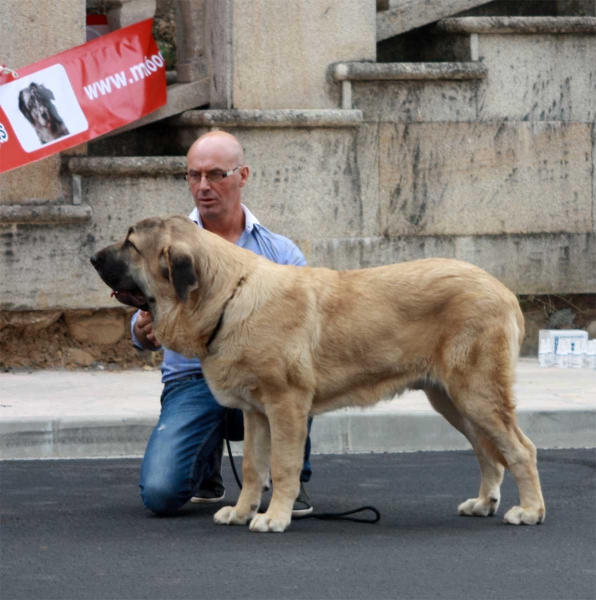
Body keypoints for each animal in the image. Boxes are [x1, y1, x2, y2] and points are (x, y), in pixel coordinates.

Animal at [89, 213, 544, 532]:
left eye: (131, 244)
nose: (92, 257)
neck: (228, 296)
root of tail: (504, 291)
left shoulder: (286, 405)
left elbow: (283, 466)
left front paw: (274, 517)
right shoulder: (256, 413)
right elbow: (253, 468)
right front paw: (241, 512)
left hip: (476, 394)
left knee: (521, 449)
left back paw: (530, 510)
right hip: (450, 399)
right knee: (488, 452)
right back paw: (483, 503)